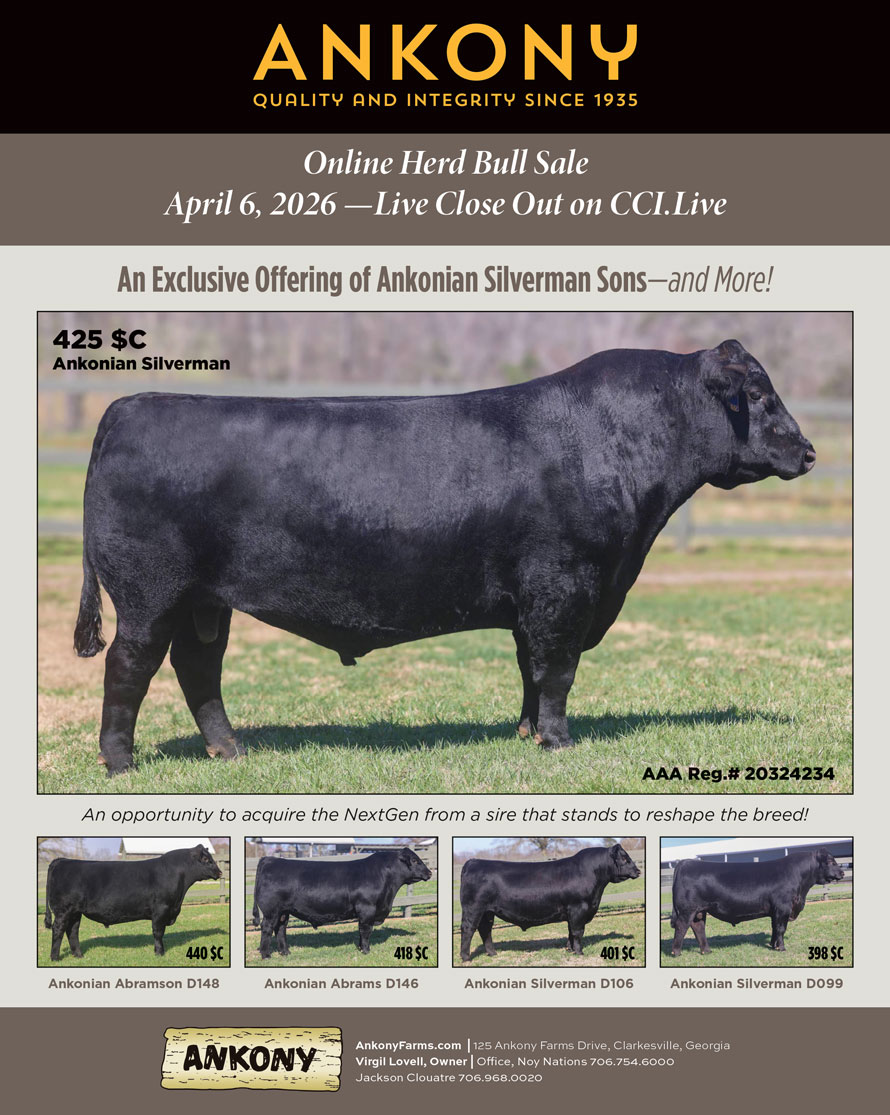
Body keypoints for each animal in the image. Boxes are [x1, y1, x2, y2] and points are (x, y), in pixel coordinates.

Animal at [44, 844, 223, 960]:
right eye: (206, 860)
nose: (220, 872)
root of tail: (62, 860)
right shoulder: (161, 910)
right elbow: (158, 932)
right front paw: (159, 953)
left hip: (75, 912)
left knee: (72, 931)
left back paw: (79, 956)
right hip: (63, 910)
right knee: (58, 930)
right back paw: (54, 958)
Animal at [73, 339, 815, 774]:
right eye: (759, 394)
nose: (808, 451)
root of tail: (128, 405)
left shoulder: (534, 600)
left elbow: (529, 668)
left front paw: (524, 733)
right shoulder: (565, 587)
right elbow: (557, 670)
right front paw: (558, 741)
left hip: (205, 601)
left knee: (198, 669)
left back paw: (231, 751)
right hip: (148, 594)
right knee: (129, 667)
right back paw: (120, 763)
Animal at [251, 847, 433, 956]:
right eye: (415, 860)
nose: (430, 873)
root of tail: (269, 860)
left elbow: (361, 931)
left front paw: (360, 948)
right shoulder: (367, 909)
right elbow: (365, 931)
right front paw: (366, 950)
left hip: (283, 912)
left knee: (280, 929)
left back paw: (286, 953)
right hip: (271, 911)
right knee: (267, 929)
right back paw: (266, 955)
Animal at [459, 844, 641, 962]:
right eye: (625, 858)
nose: (638, 871)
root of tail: (473, 861)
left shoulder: (573, 912)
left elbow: (570, 931)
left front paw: (569, 949)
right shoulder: (578, 908)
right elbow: (578, 932)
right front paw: (579, 952)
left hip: (487, 912)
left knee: (485, 930)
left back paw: (492, 953)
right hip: (473, 908)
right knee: (468, 929)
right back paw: (466, 958)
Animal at [669, 847, 845, 955]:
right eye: (830, 862)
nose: (843, 873)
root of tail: (685, 862)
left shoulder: (775, 911)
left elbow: (774, 929)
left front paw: (773, 945)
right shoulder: (783, 908)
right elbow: (781, 929)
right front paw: (782, 948)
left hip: (699, 911)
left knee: (698, 927)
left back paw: (706, 951)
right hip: (687, 910)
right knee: (681, 927)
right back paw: (676, 953)